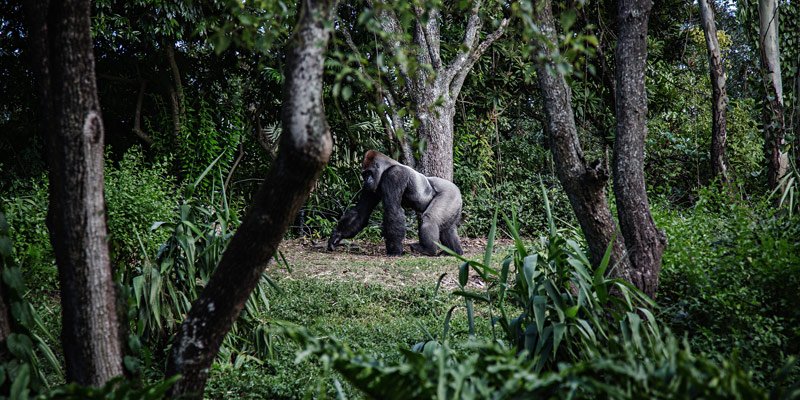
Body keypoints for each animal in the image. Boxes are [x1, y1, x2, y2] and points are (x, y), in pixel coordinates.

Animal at [324, 150, 462, 256]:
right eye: (364, 174)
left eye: (369, 172)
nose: (366, 180)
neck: (386, 167)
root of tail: (458, 190)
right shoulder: (371, 188)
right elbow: (361, 211)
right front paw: (336, 236)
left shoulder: (394, 175)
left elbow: (392, 209)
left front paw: (395, 250)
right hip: (454, 202)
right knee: (448, 228)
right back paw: (454, 252)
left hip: (449, 193)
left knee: (430, 218)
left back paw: (428, 249)